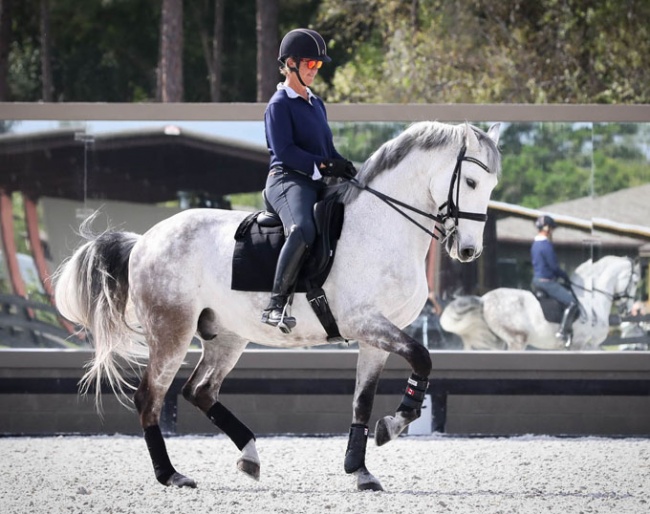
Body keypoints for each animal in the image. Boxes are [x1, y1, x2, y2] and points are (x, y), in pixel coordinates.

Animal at [54, 120, 502, 488]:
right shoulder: (365, 323)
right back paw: (171, 475)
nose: (468, 250)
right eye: (472, 183)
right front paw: (391, 427)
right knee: (150, 398)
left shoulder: (376, 335)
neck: (381, 226)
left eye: (492, 186)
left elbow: (363, 399)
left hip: (226, 336)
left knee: (200, 391)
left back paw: (249, 455)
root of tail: (144, 239)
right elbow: (423, 357)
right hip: (171, 331)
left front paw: (361, 467)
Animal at [438, 254, 636, 350]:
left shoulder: (591, 346)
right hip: (517, 340)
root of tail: (484, 299)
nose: (627, 309)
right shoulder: (580, 345)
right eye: (635, 281)